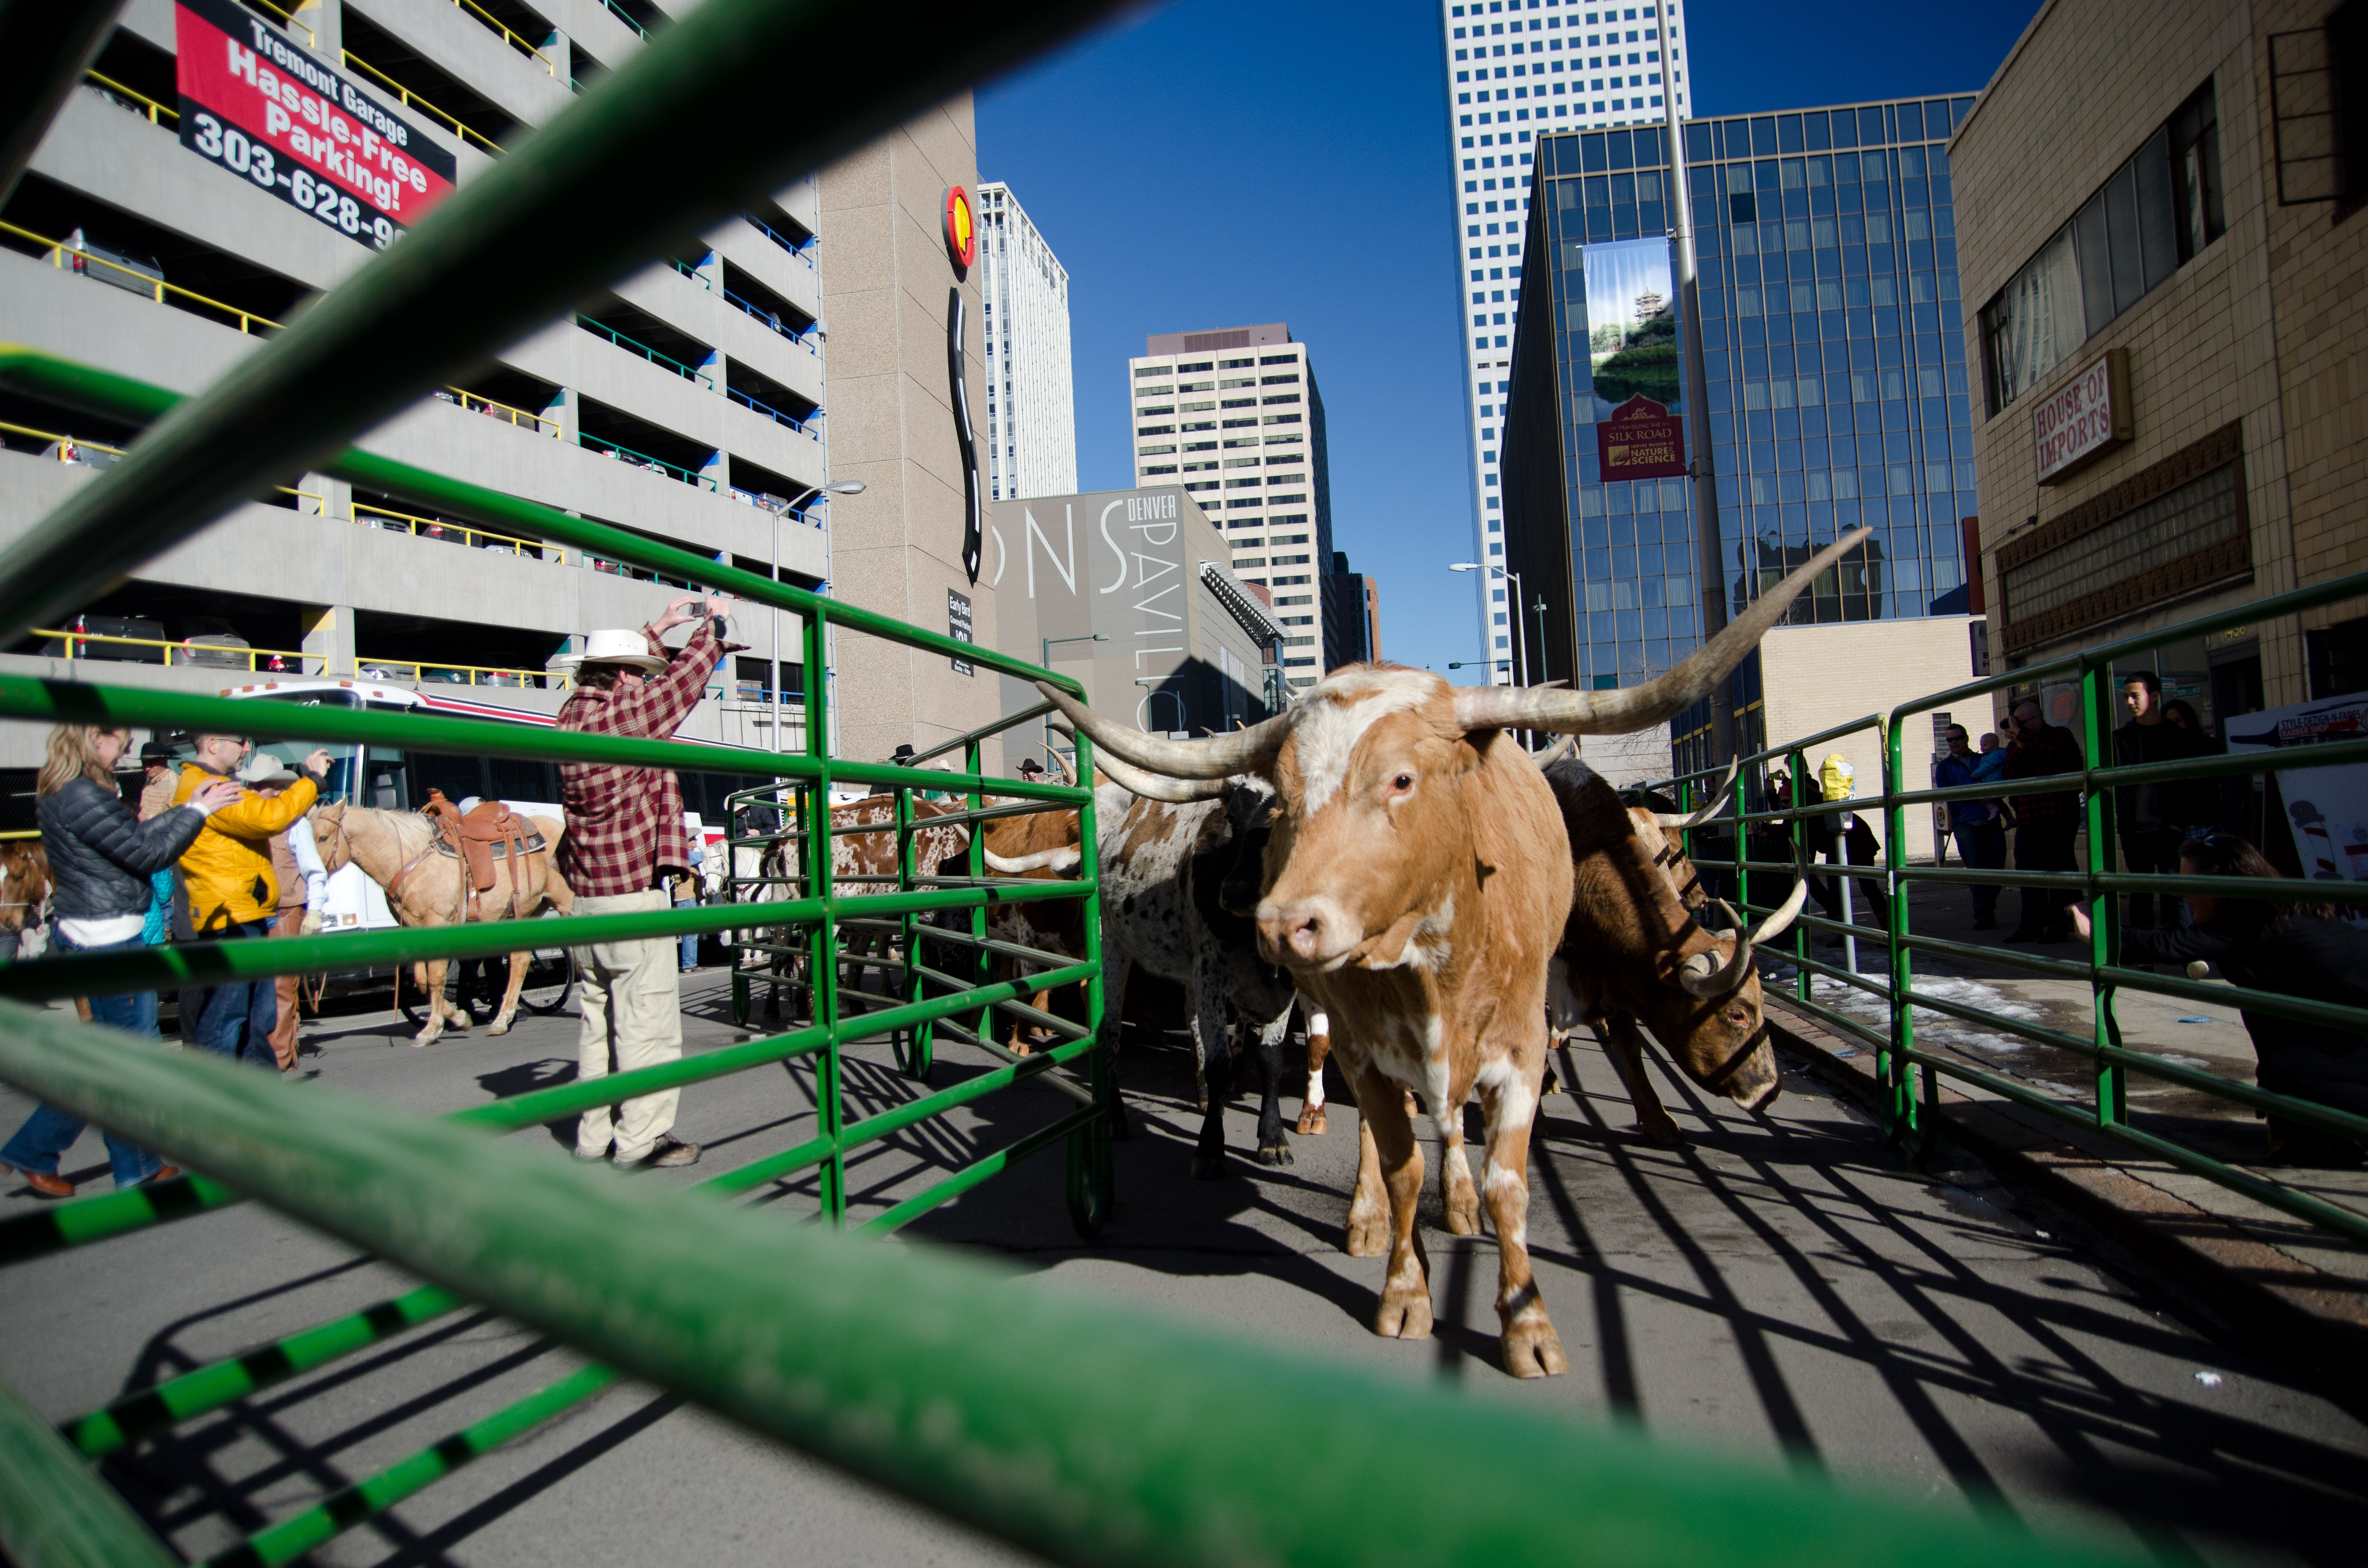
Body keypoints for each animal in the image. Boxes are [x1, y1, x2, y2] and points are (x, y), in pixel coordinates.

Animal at [312, 805, 575, 1052]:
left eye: (323, 837)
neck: (410, 857)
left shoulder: (437, 924)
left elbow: (436, 979)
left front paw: (431, 1030)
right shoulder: (415, 929)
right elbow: (421, 981)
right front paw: (460, 1018)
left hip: (566, 905)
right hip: (524, 915)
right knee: (520, 961)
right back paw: (501, 1019)